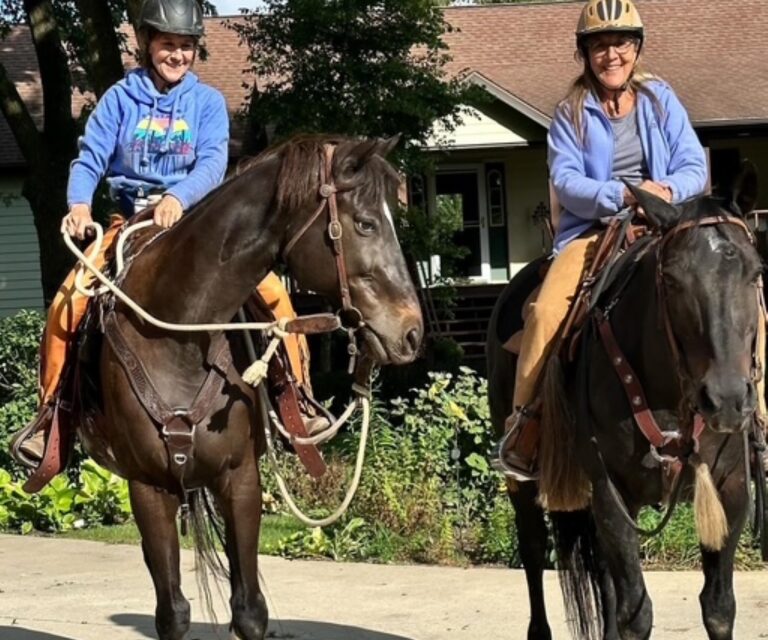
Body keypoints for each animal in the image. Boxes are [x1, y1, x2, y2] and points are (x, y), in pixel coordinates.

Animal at [72, 135, 423, 640]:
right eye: (365, 223)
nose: (412, 332)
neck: (178, 335)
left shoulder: (239, 479)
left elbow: (249, 611)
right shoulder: (147, 487)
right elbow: (172, 612)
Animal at [487, 166, 764, 640]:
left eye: (755, 271)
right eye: (670, 279)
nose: (727, 399)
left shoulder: (729, 491)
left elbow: (718, 607)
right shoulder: (612, 493)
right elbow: (637, 614)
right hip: (524, 483)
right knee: (534, 548)